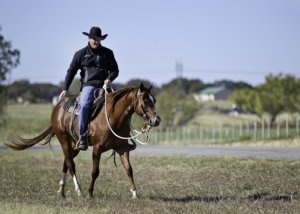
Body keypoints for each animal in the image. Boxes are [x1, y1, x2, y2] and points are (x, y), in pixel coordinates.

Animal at [5, 84, 159, 199]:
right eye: (146, 100)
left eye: (154, 100)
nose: (156, 120)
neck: (113, 117)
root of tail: (58, 107)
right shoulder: (97, 148)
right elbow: (95, 172)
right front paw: (90, 193)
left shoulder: (122, 149)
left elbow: (129, 169)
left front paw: (134, 193)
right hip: (64, 140)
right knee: (70, 164)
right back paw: (78, 190)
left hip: (75, 145)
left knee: (66, 162)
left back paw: (61, 191)